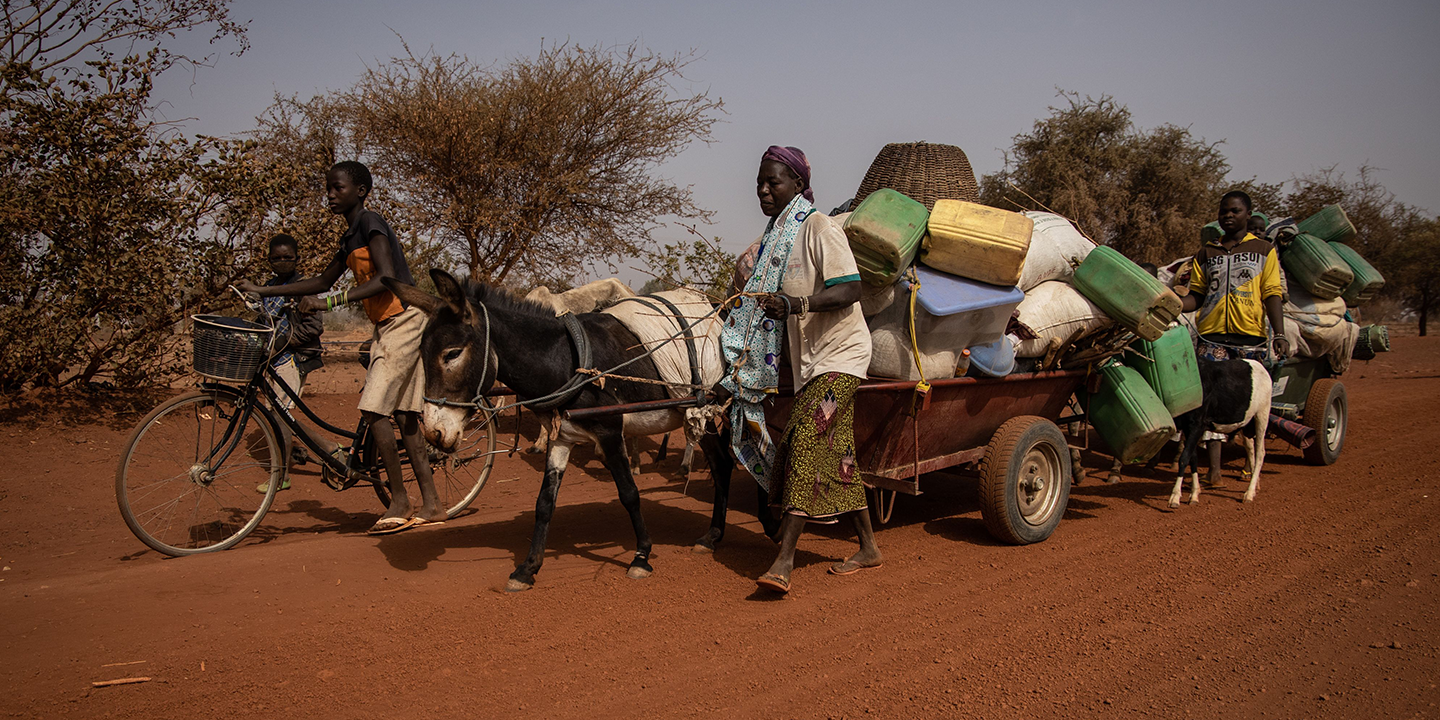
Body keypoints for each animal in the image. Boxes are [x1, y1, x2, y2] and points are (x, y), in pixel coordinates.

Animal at [1169, 358, 1272, 506]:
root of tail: (1261, 366)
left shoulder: (1196, 425)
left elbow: (1184, 458)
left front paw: (1175, 496)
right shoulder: (1188, 428)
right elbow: (1193, 458)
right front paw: (1194, 494)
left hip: (1262, 415)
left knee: (1260, 453)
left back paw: (1249, 493)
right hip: (1248, 424)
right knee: (1250, 449)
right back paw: (1255, 484)